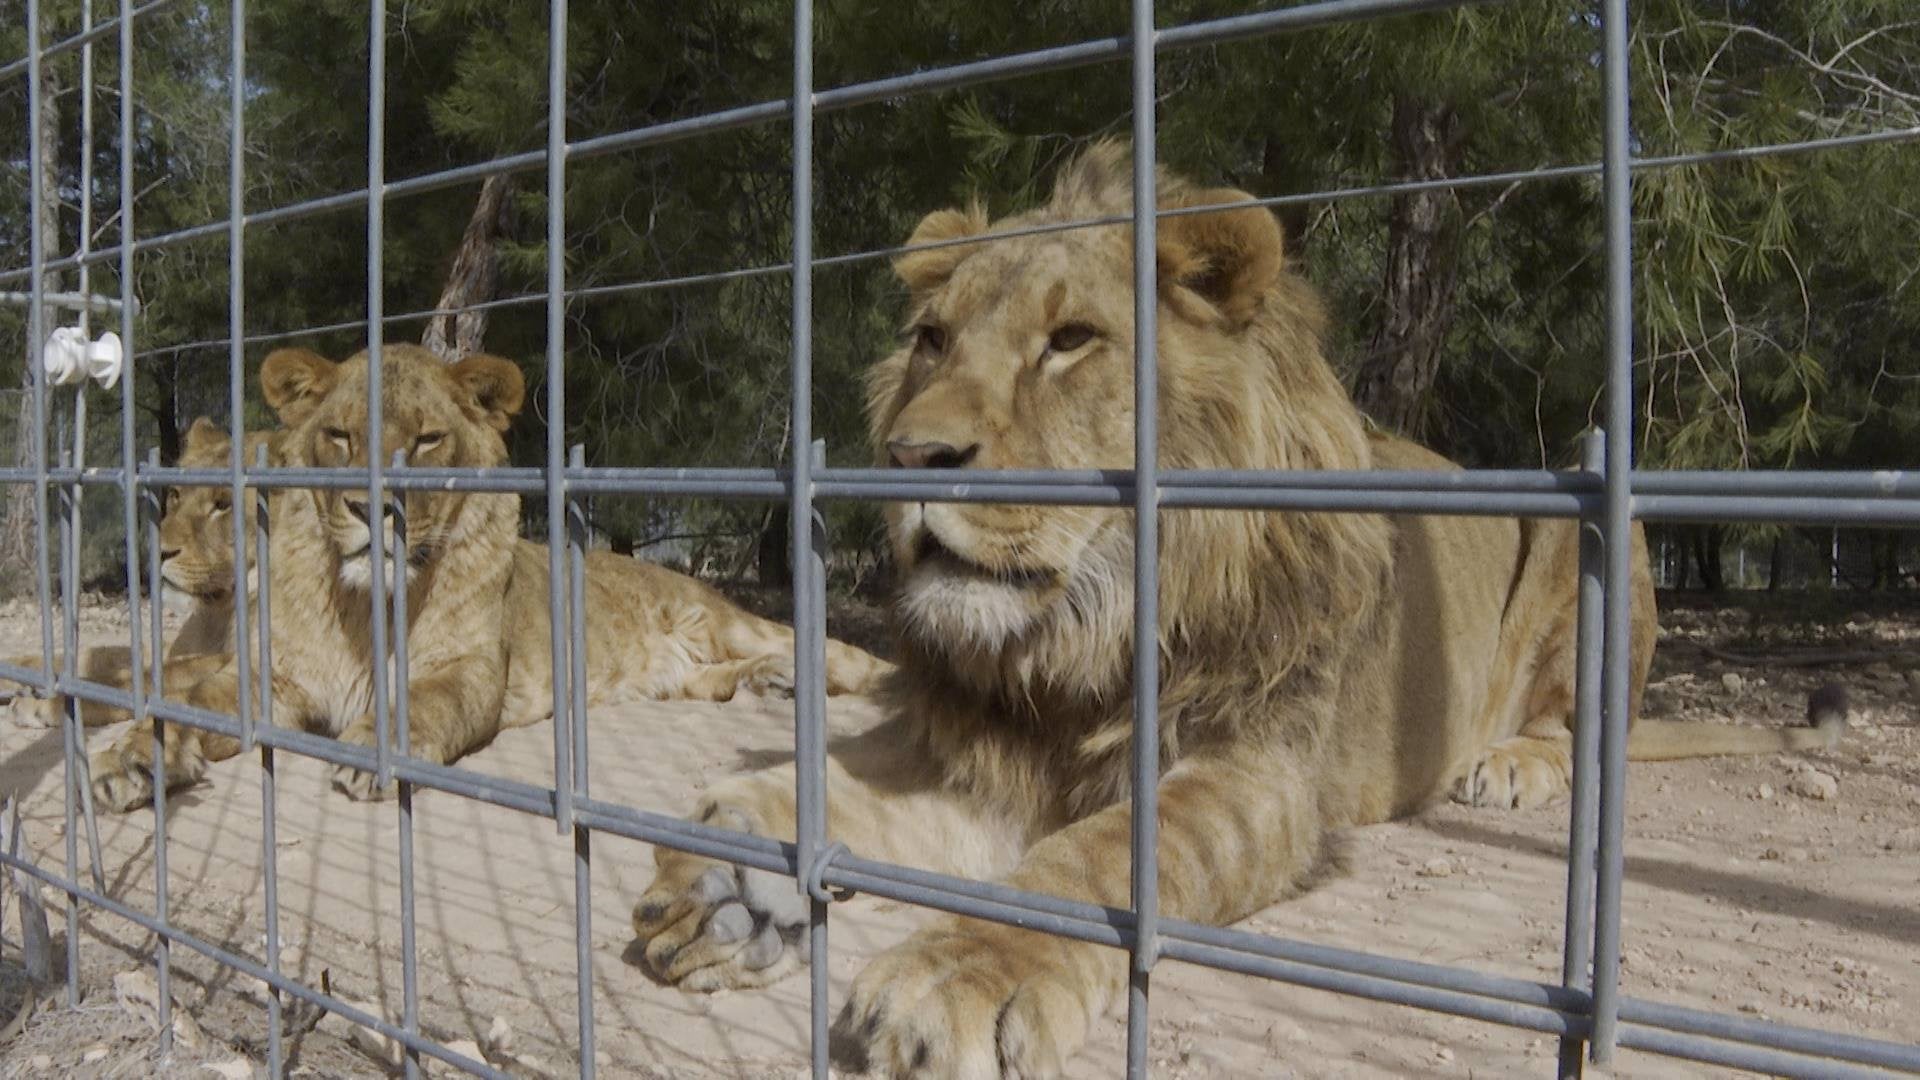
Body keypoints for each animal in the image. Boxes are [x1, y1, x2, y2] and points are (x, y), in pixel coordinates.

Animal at [89, 343, 892, 811]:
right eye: (341, 435)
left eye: (427, 440)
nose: (374, 505)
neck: (359, 603)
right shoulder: (274, 680)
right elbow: (186, 701)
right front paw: (130, 758)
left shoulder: (470, 668)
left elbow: (419, 702)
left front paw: (369, 755)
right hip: (669, 678)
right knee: (712, 679)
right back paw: (769, 685)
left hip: (724, 618)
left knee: (837, 651)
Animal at [629, 142, 1845, 1077]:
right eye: (932, 340)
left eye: (1070, 342)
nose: (911, 457)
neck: (1083, 638)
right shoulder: (976, 742)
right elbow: (825, 779)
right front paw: (727, 876)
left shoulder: (1251, 769)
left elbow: (1093, 861)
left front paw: (957, 974)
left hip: (1596, 530)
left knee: (1590, 726)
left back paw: (1507, 764)